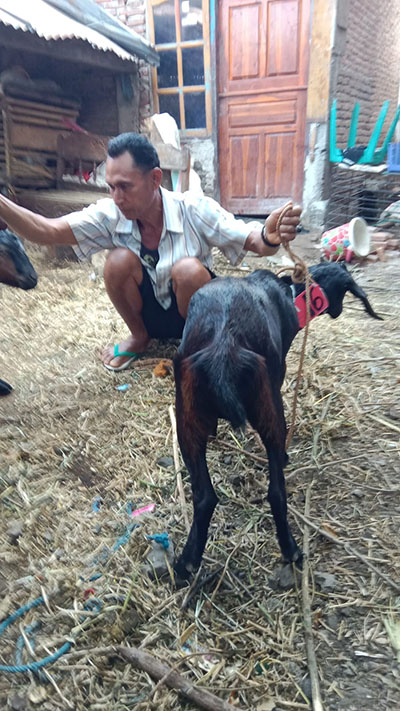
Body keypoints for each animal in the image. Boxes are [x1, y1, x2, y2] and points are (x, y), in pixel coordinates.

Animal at [173, 262, 382, 580]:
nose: (337, 312)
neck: (293, 291)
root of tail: (223, 348)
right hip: (273, 412)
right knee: (276, 492)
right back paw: (291, 549)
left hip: (185, 423)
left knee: (204, 496)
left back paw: (187, 561)